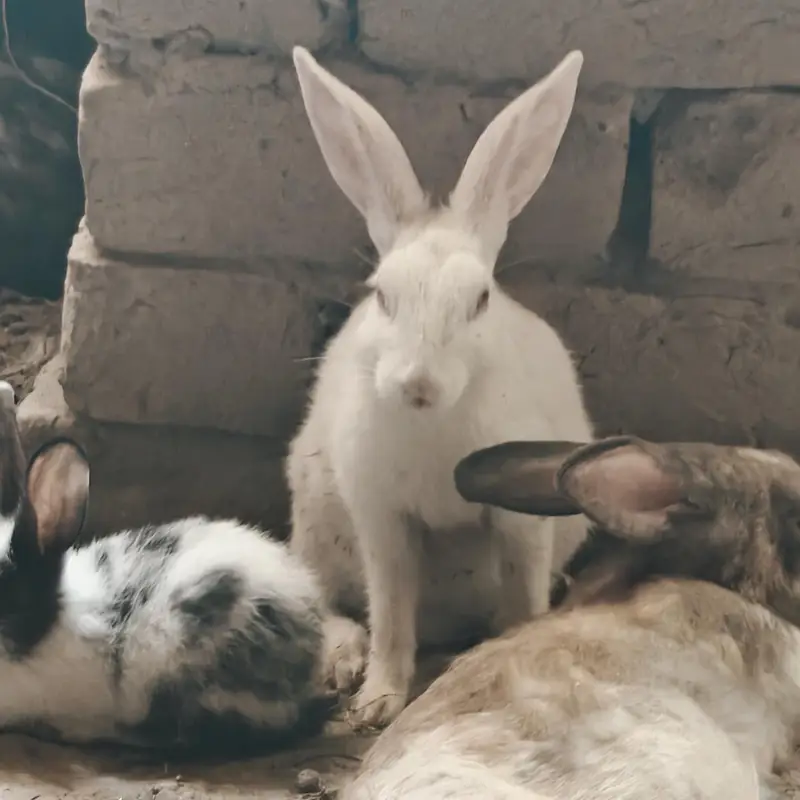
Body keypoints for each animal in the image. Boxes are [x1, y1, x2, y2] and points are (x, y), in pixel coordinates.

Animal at [286, 46, 595, 729]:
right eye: (381, 295)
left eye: (479, 299)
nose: (418, 385)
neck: (433, 426)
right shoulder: (381, 518)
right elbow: (390, 611)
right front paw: (378, 702)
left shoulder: (522, 521)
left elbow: (523, 597)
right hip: (315, 521)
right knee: (327, 600)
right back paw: (342, 663)